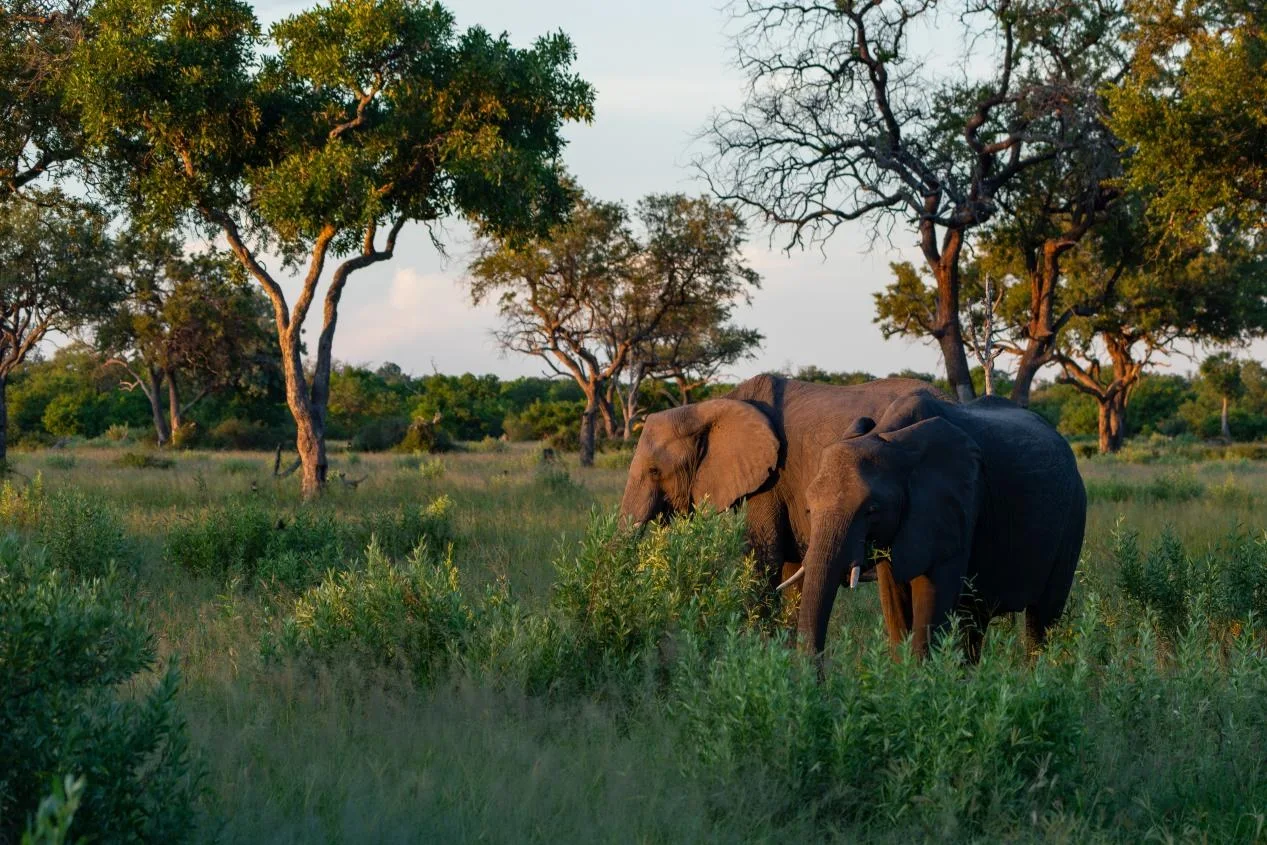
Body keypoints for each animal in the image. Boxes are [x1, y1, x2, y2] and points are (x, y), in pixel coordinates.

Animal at [782, 392, 1087, 660]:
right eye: (809, 510)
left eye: (871, 510)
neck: (891, 438)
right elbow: (895, 603)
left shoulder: (956, 505)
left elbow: (932, 599)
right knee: (974, 619)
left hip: (1074, 513)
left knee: (1042, 617)